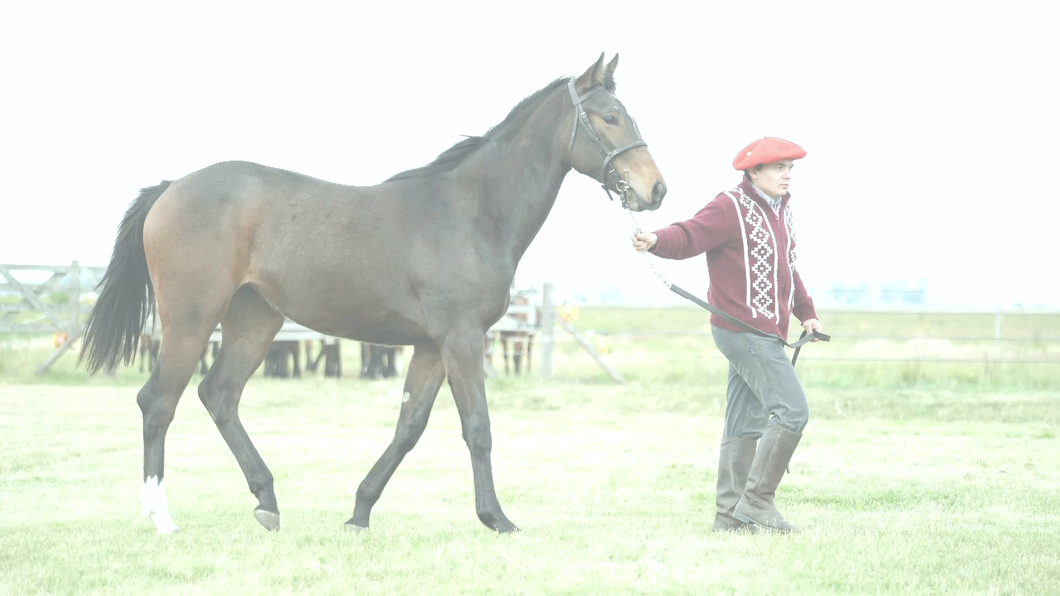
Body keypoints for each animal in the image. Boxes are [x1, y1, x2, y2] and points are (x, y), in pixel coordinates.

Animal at [78, 53, 665, 530]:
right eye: (609, 117)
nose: (656, 189)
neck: (470, 213)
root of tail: (170, 189)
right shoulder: (461, 338)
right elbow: (477, 425)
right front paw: (496, 518)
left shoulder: (431, 346)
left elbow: (409, 426)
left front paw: (360, 511)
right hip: (191, 319)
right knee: (159, 402)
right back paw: (161, 516)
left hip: (255, 320)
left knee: (218, 395)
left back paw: (267, 502)